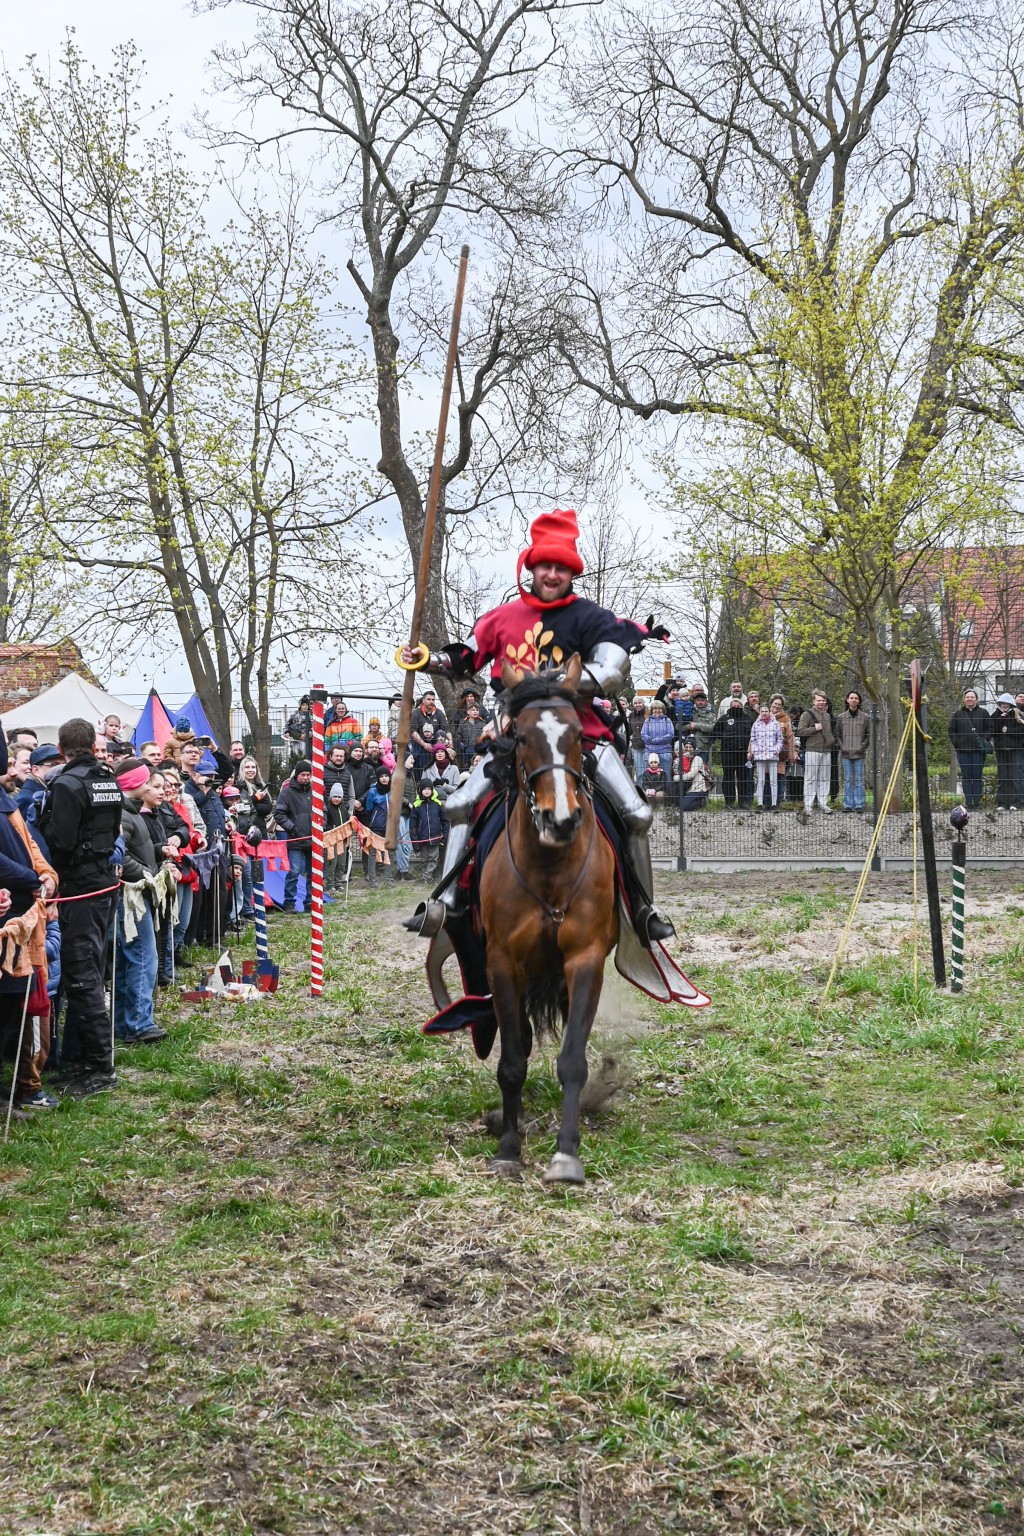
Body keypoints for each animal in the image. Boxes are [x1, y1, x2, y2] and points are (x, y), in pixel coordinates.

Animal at [479, 654, 619, 1185]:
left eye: (578, 733)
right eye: (519, 736)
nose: (561, 820)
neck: (550, 869)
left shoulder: (585, 960)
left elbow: (573, 1060)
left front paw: (566, 1153)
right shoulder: (502, 964)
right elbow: (512, 1061)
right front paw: (508, 1148)